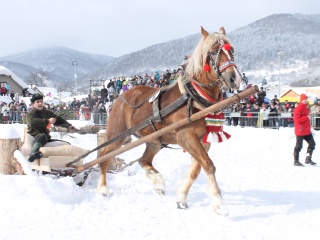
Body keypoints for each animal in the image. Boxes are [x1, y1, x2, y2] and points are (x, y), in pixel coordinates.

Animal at [99, 26, 241, 216]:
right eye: (212, 52)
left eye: (231, 51)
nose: (235, 78)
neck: (193, 97)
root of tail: (120, 97)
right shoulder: (186, 136)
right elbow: (208, 165)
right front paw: (219, 203)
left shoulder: (203, 141)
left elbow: (196, 170)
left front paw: (181, 198)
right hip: (118, 134)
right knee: (105, 155)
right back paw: (103, 189)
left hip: (154, 140)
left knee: (144, 160)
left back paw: (158, 183)